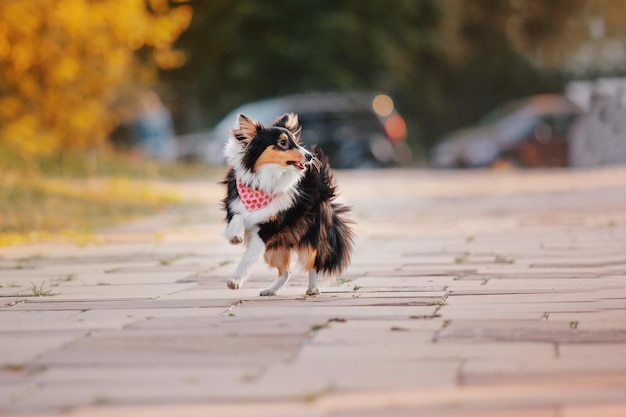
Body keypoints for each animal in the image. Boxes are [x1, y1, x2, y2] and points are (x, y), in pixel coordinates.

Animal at [222, 113, 354, 296]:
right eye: (282, 142)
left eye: (295, 142)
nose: (310, 157)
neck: (267, 178)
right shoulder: (235, 205)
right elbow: (238, 217)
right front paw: (235, 236)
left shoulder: (269, 228)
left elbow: (249, 256)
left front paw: (235, 280)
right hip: (274, 248)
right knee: (286, 271)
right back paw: (271, 290)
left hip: (310, 237)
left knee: (312, 263)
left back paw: (313, 289)